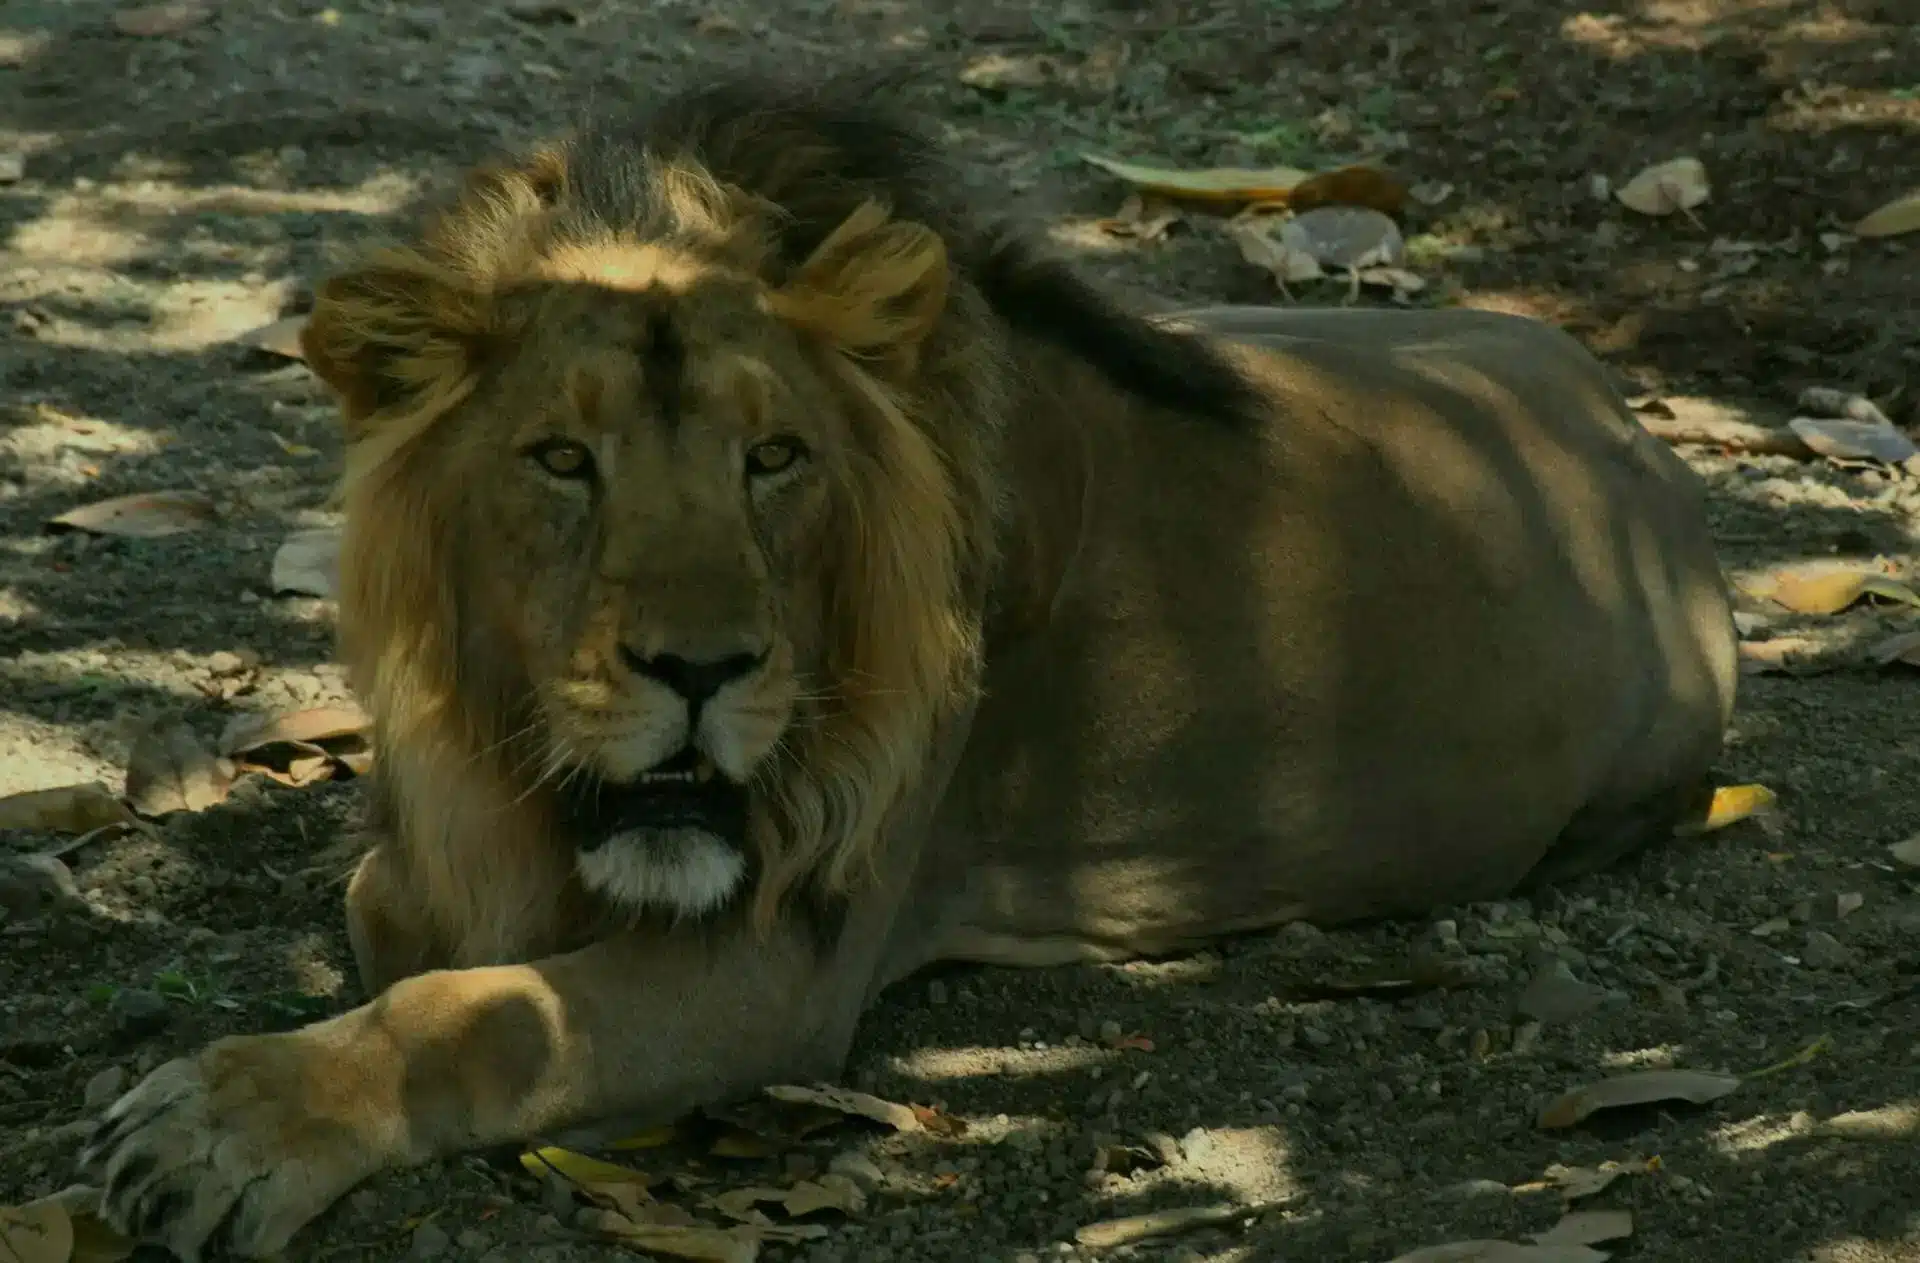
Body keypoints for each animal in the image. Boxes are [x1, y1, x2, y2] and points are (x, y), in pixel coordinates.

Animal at [78, 73, 1743, 1251]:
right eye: (561, 458)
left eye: (774, 458)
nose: (701, 667)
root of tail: (1628, 416)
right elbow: (405, 922)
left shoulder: (779, 960)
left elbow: (475, 1008)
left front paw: (226, 1122)